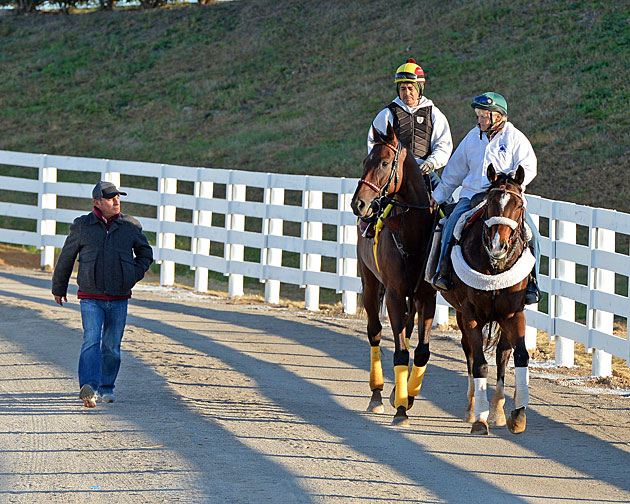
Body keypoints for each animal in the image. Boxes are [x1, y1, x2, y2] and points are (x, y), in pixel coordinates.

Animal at [350, 124, 440, 428]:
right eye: (365, 161)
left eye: (385, 163)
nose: (359, 204)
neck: (413, 233)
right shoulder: (394, 294)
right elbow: (400, 350)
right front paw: (401, 409)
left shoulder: (426, 297)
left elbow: (421, 350)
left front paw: (407, 396)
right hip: (369, 282)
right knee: (375, 332)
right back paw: (377, 394)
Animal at [442, 164, 536, 434]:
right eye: (491, 204)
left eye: (518, 205)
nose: (498, 246)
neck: (495, 268)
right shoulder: (471, 316)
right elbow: (479, 364)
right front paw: (480, 417)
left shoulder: (513, 314)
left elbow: (519, 355)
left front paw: (517, 414)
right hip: (461, 315)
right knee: (470, 352)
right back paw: (472, 408)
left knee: (503, 353)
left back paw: (497, 410)